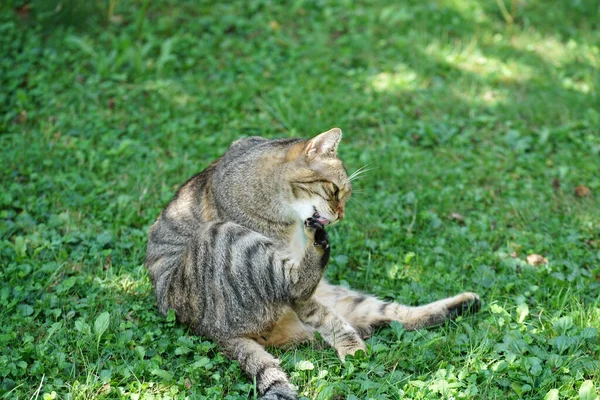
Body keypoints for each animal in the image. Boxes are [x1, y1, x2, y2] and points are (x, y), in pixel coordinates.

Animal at [143, 129, 480, 400]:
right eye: (335, 190)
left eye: (346, 195)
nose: (341, 215)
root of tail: (210, 331)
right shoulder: (284, 273)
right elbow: (315, 308)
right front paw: (350, 348)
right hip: (224, 238)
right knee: (302, 290)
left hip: (340, 296)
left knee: (396, 316)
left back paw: (465, 304)